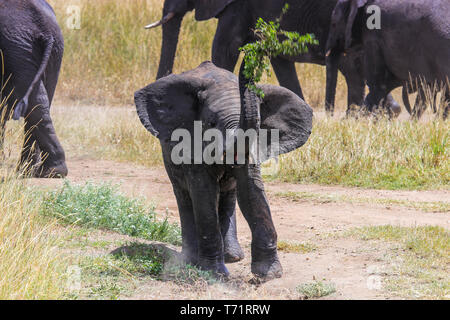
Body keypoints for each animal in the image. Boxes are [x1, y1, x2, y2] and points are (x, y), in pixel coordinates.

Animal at [0, 0, 67, 178]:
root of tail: (45, 28)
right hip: (51, 51)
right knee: (39, 105)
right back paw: (35, 171)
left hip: (17, 48)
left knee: (35, 105)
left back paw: (45, 171)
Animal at [134, 60, 312, 278]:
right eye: (211, 124)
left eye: (259, 125)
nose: (249, 57)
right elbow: (204, 193)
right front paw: (214, 274)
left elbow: (251, 191)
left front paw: (268, 274)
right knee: (184, 196)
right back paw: (190, 261)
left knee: (228, 196)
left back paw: (233, 257)